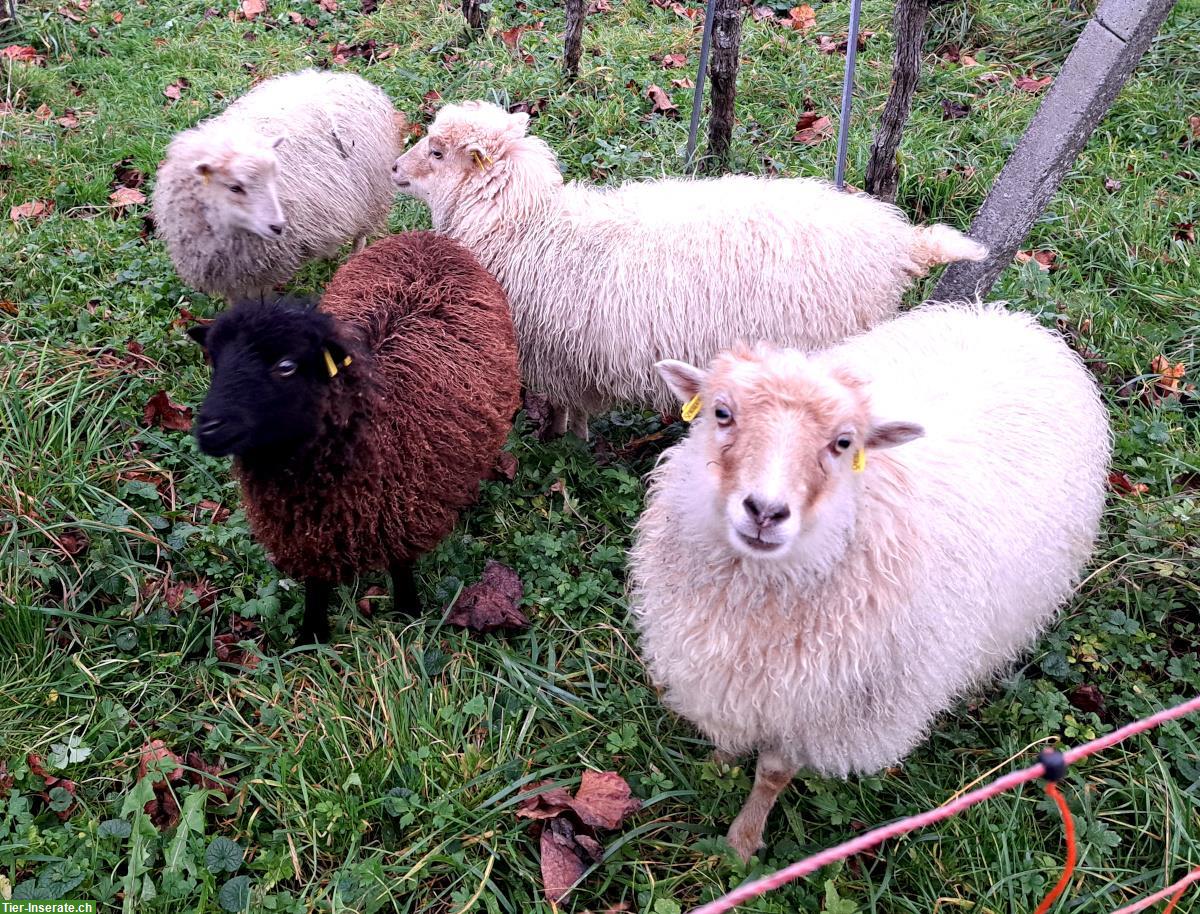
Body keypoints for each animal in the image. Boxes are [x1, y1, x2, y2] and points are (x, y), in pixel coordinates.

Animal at [154, 70, 403, 302]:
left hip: (371, 195)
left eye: (275, 177)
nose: (278, 227)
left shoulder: (266, 271)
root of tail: (341, 78)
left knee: (361, 235)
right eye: (235, 187)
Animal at [190, 227, 520, 642]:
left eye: (286, 366)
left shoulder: (401, 515)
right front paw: (311, 638)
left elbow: (401, 570)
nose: (209, 429)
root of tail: (425, 237)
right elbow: (316, 588)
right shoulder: (307, 535)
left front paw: (408, 615)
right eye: (214, 361)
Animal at [633, 302, 1108, 858]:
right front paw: (717, 770)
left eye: (844, 442)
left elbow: (772, 774)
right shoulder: (721, 674)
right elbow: (727, 736)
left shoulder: (824, 712)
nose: (765, 512)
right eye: (720, 413)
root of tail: (1008, 318)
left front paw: (742, 841)